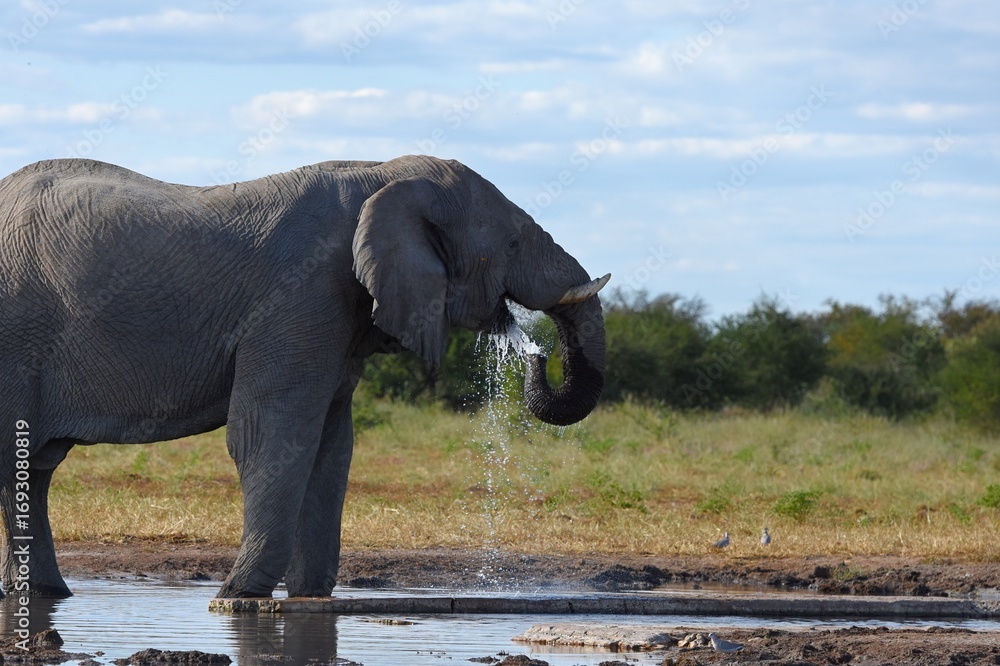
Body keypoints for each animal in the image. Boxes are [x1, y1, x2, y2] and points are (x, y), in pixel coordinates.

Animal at [0, 154, 608, 599]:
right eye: (512, 243)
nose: (533, 349)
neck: (381, 174)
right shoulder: (302, 294)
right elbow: (270, 436)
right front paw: (236, 597)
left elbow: (331, 447)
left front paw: (310, 598)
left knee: (34, 469)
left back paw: (46, 596)